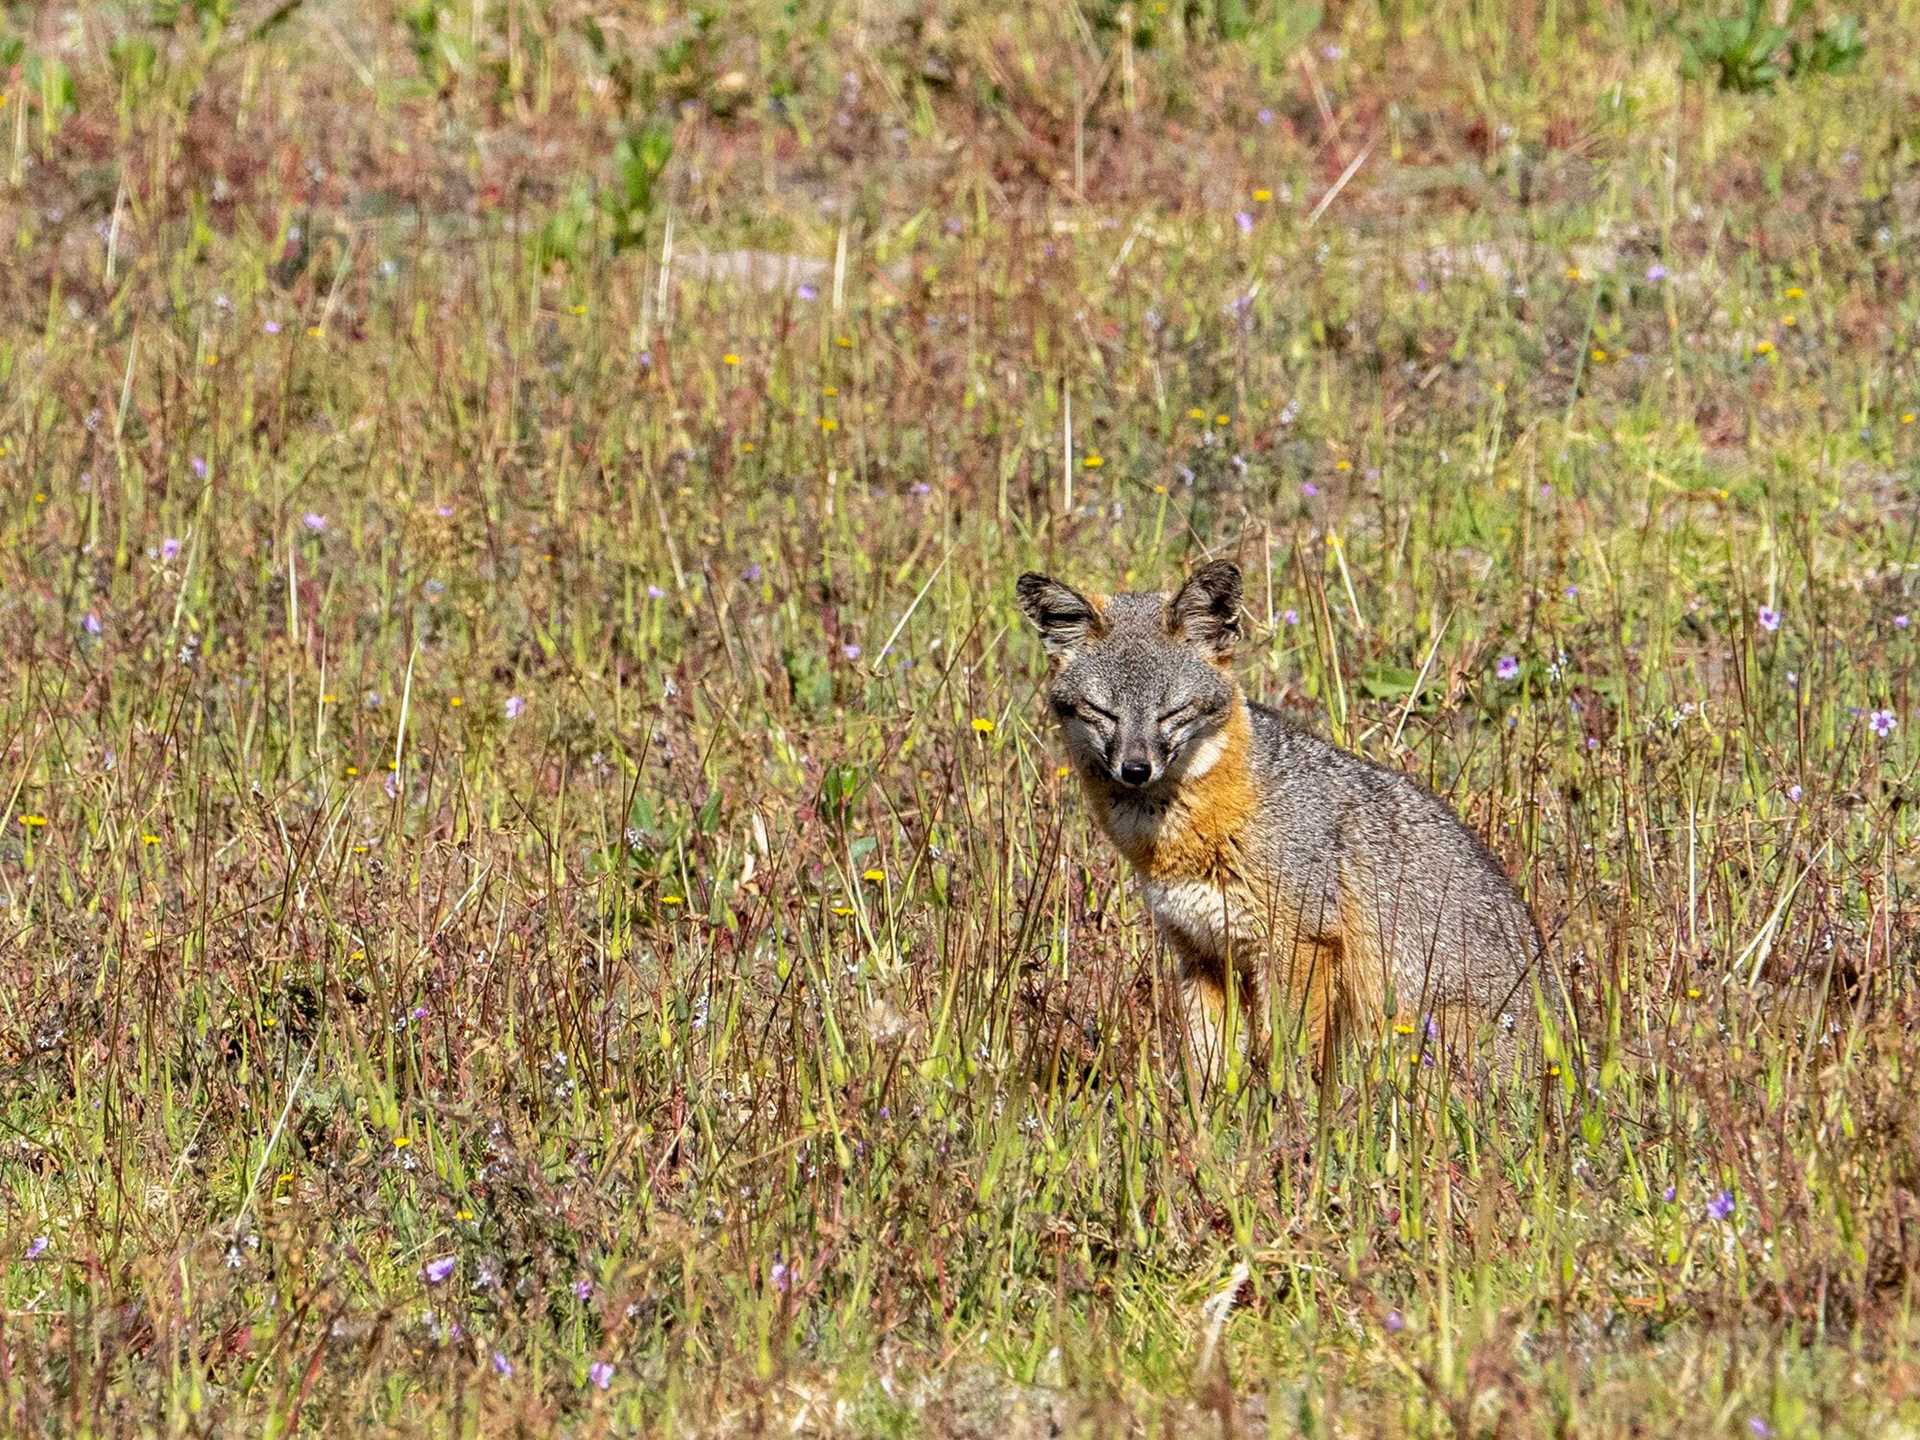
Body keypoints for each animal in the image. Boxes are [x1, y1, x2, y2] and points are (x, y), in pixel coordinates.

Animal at [1013, 556, 1566, 1090]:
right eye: (1103, 712)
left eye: (1172, 712)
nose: (1135, 769)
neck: (1186, 838)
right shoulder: (1201, 953)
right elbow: (1208, 1061)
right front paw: (1208, 1117)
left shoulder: (1301, 944)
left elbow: (1290, 1054)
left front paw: (1289, 1110)